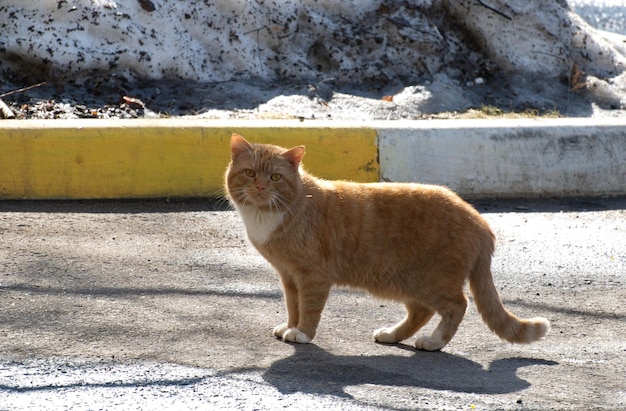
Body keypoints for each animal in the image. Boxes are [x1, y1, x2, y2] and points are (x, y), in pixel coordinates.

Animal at [223, 134, 544, 352]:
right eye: (250, 173)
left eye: (276, 177)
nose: (260, 186)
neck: (267, 215)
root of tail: (479, 219)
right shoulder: (289, 276)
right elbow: (293, 306)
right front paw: (291, 326)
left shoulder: (312, 276)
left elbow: (310, 308)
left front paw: (302, 333)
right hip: (406, 281)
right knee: (421, 312)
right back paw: (392, 334)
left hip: (431, 280)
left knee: (457, 305)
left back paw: (434, 341)